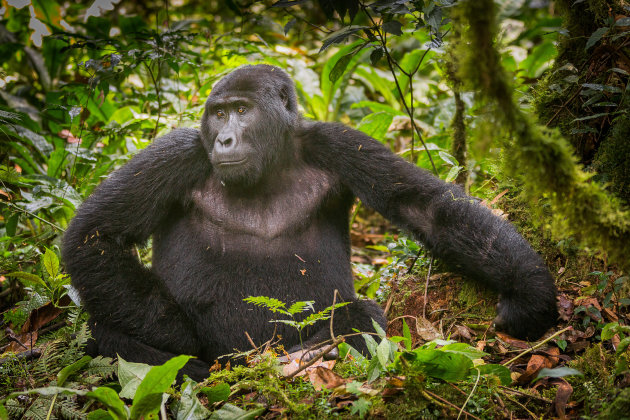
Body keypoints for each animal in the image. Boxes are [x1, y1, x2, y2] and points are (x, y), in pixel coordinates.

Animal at [63, 64, 556, 378]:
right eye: (218, 114)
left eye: (241, 111)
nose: (223, 140)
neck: (273, 157)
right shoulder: (178, 152)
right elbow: (96, 235)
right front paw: (179, 333)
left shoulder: (337, 141)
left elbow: (426, 206)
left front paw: (528, 288)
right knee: (106, 332)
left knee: (361, 315)